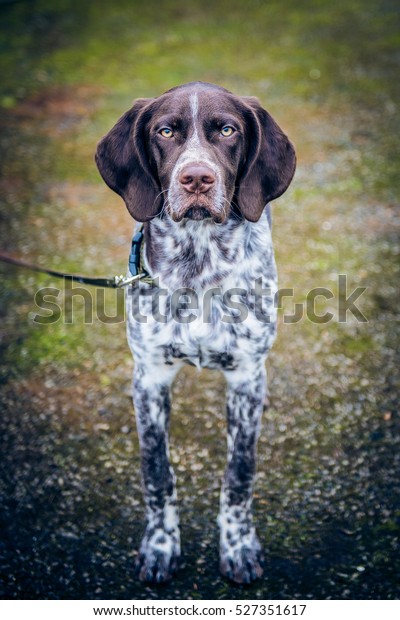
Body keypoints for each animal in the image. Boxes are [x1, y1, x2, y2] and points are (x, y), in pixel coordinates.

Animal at [94, 81, 294, 580]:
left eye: (227, 130)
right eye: (166, 131)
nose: (197, 179)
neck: (199, 263)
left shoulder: (245, 377)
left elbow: (240, 472)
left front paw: (238, 545)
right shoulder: (149, 376)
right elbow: (156, 471)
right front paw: (160, 544)